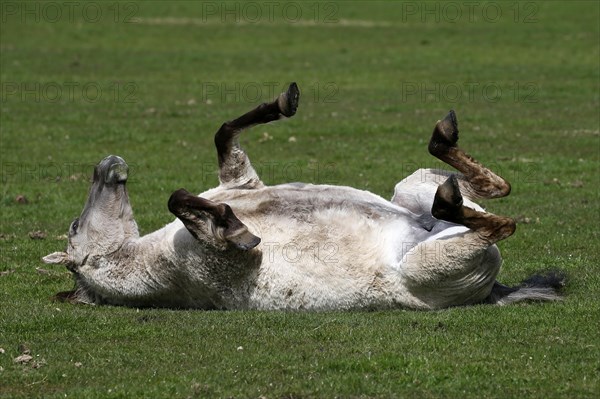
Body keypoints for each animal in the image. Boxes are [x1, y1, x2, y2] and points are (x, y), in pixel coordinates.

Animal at [43, 83, 564, 310]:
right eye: (74, 227)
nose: (106, 164)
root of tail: (496, 289)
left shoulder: (239, 180)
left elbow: (221, 137)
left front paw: (281, 102)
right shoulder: (220, 260)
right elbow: (189, 205)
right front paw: (234, 228)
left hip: (410, 186)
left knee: (491, 190)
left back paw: (444, 142)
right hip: (434, 262)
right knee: (498, 222)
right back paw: (449, 198)